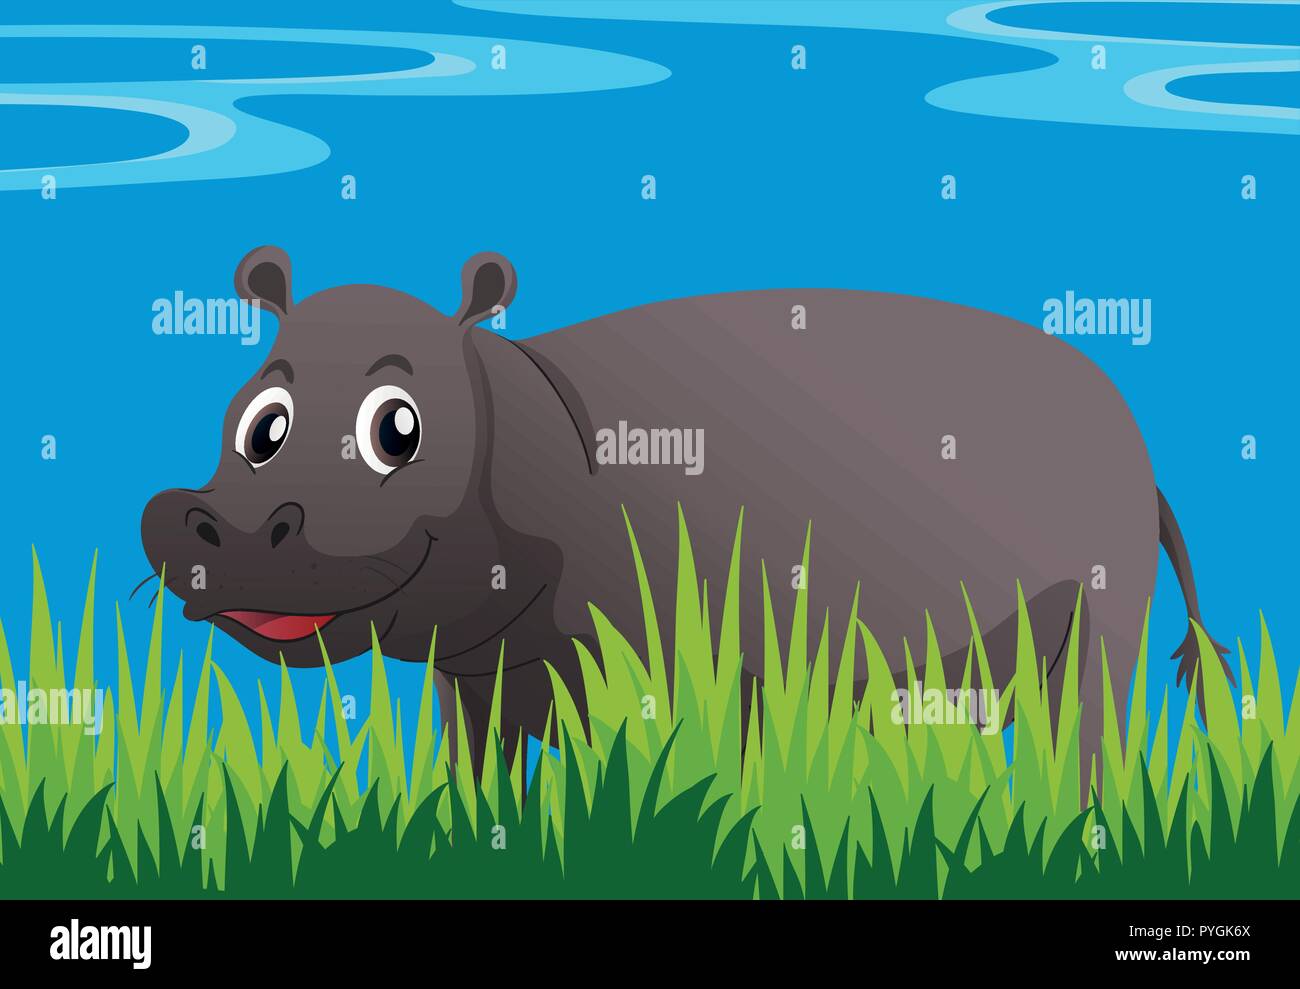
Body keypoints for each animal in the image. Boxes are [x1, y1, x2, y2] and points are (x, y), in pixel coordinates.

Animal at [141, 246, 1231, 782]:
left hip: (1102, 617)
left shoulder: (704, 659)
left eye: (396, 428)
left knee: (1088, 728)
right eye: (260, 424)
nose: (224, 526)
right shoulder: (476, 671)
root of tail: (1145, 456)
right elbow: (472, 774)